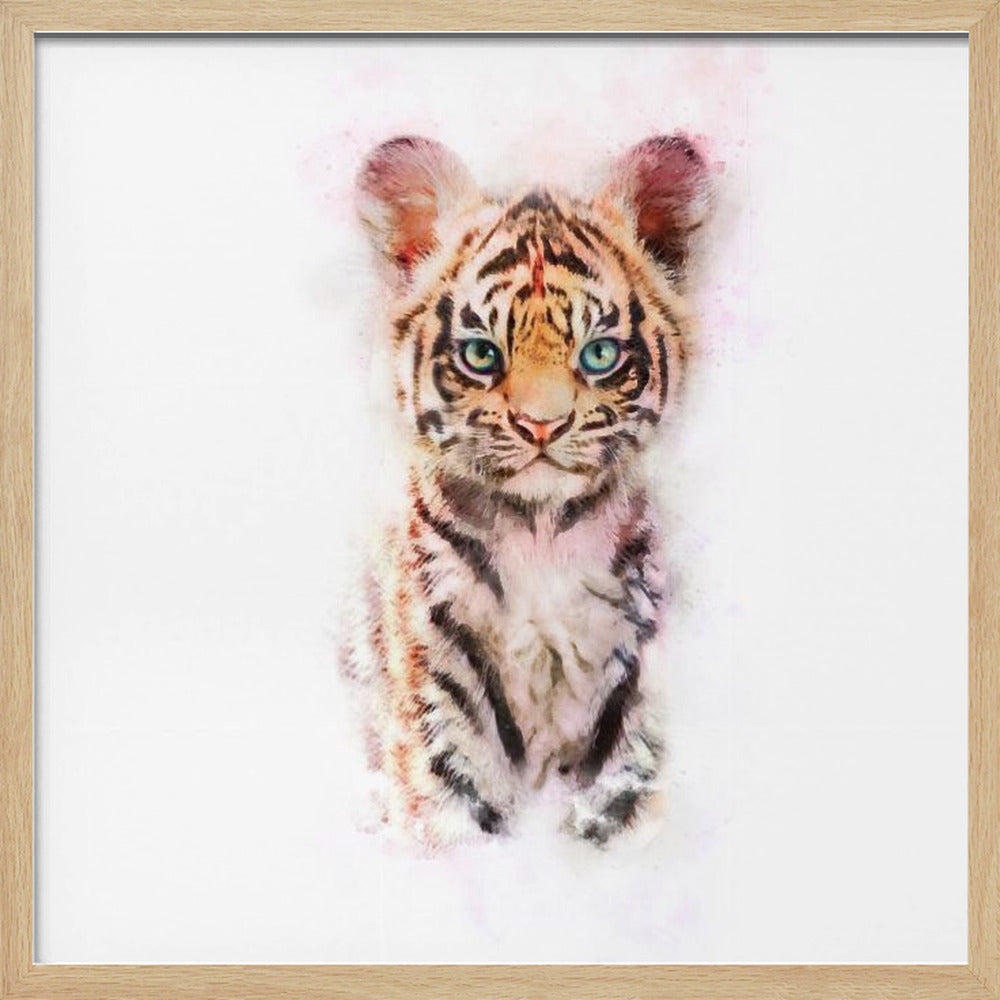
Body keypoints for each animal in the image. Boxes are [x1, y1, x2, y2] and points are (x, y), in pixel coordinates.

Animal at [342, 134, 711, 849]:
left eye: (599, 355)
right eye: (482, 355)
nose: (542, 425)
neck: (541, 537)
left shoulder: (637, 684)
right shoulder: (439, 689)